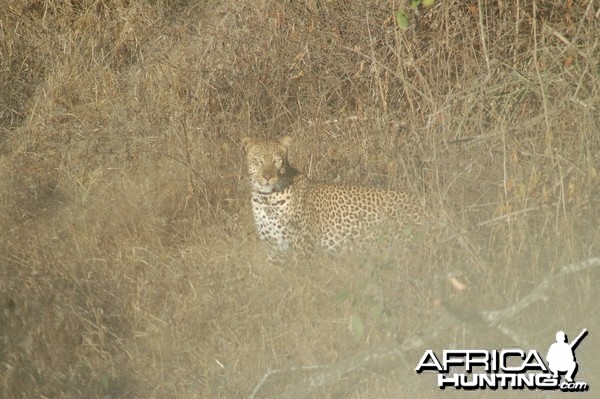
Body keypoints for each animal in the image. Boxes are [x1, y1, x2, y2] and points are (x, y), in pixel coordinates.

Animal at [241, 136, 428, 252]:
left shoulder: (302, 247)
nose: (267, 176)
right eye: (258, 160)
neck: (266, 199)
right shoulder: (273, 248)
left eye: (277, 160)